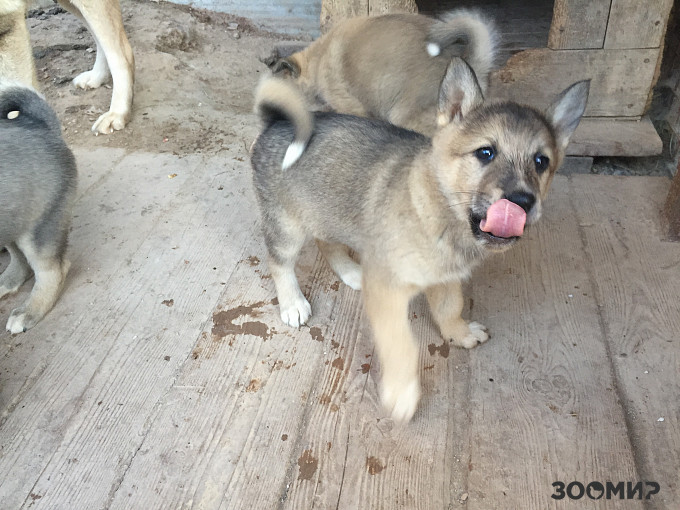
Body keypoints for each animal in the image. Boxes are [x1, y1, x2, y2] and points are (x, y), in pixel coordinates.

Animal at [0, 81, 77, 332]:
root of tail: (40, 125)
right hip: (15, 217)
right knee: (21, 261)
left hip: (39, 229)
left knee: (53, 270)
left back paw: (30, 311)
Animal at [251, 58, 588, 422]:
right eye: (485, 153)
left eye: (541, 162)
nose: (523, 202)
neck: (441, 212)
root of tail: (277, 122)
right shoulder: (388, 291)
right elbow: (400, 344)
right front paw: (402, 393)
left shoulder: (446, 277)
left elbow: (450, 306)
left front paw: (460, 333)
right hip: (287, 226)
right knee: (279, 261)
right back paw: (292, 303)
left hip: (327, 211)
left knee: (328, 243)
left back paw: (351, 272)